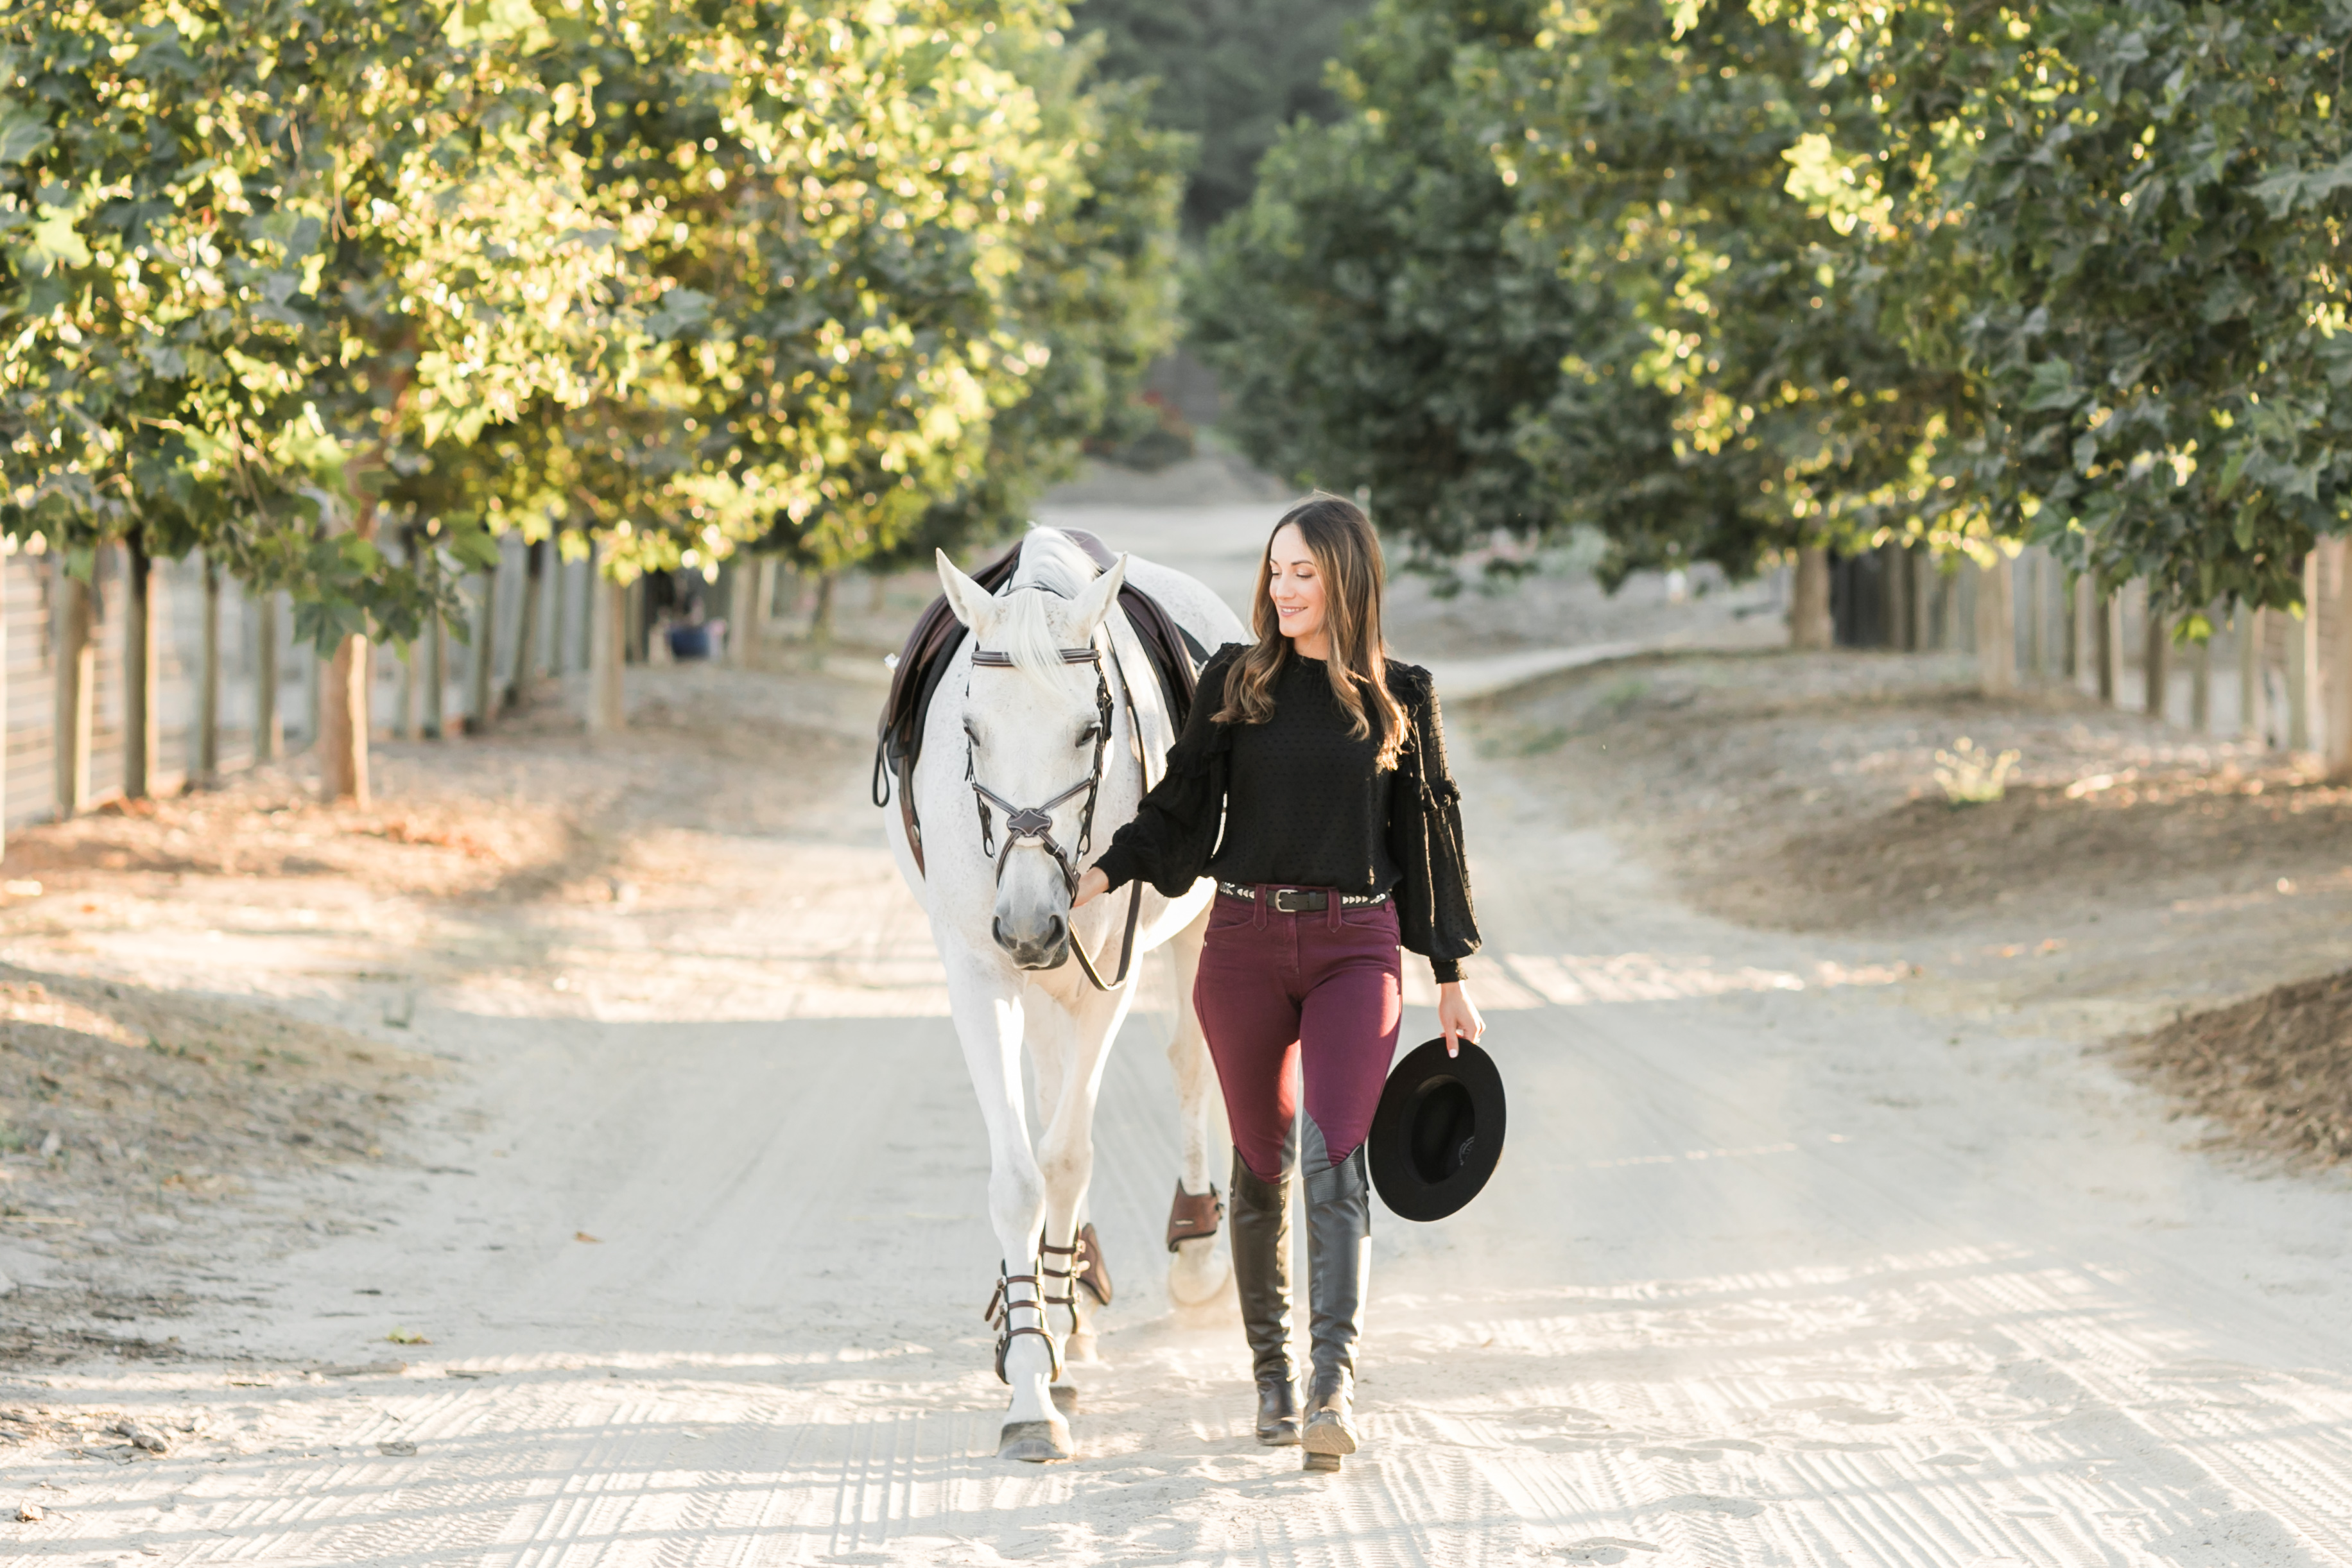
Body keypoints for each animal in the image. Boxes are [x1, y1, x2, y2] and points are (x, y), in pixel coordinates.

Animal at [884, 533, 1251, 1467]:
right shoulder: (979, 972)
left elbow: (1066, 1158)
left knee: (1190, 1063)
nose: (1026, 920)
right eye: (971, 729)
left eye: (1089, 730)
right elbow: (1022, 1173)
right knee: (1053, 1089)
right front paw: (1029, 1372)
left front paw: (1050, 1323)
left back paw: (1189, 1254)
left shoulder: (1104, 979)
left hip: (1179, 932)